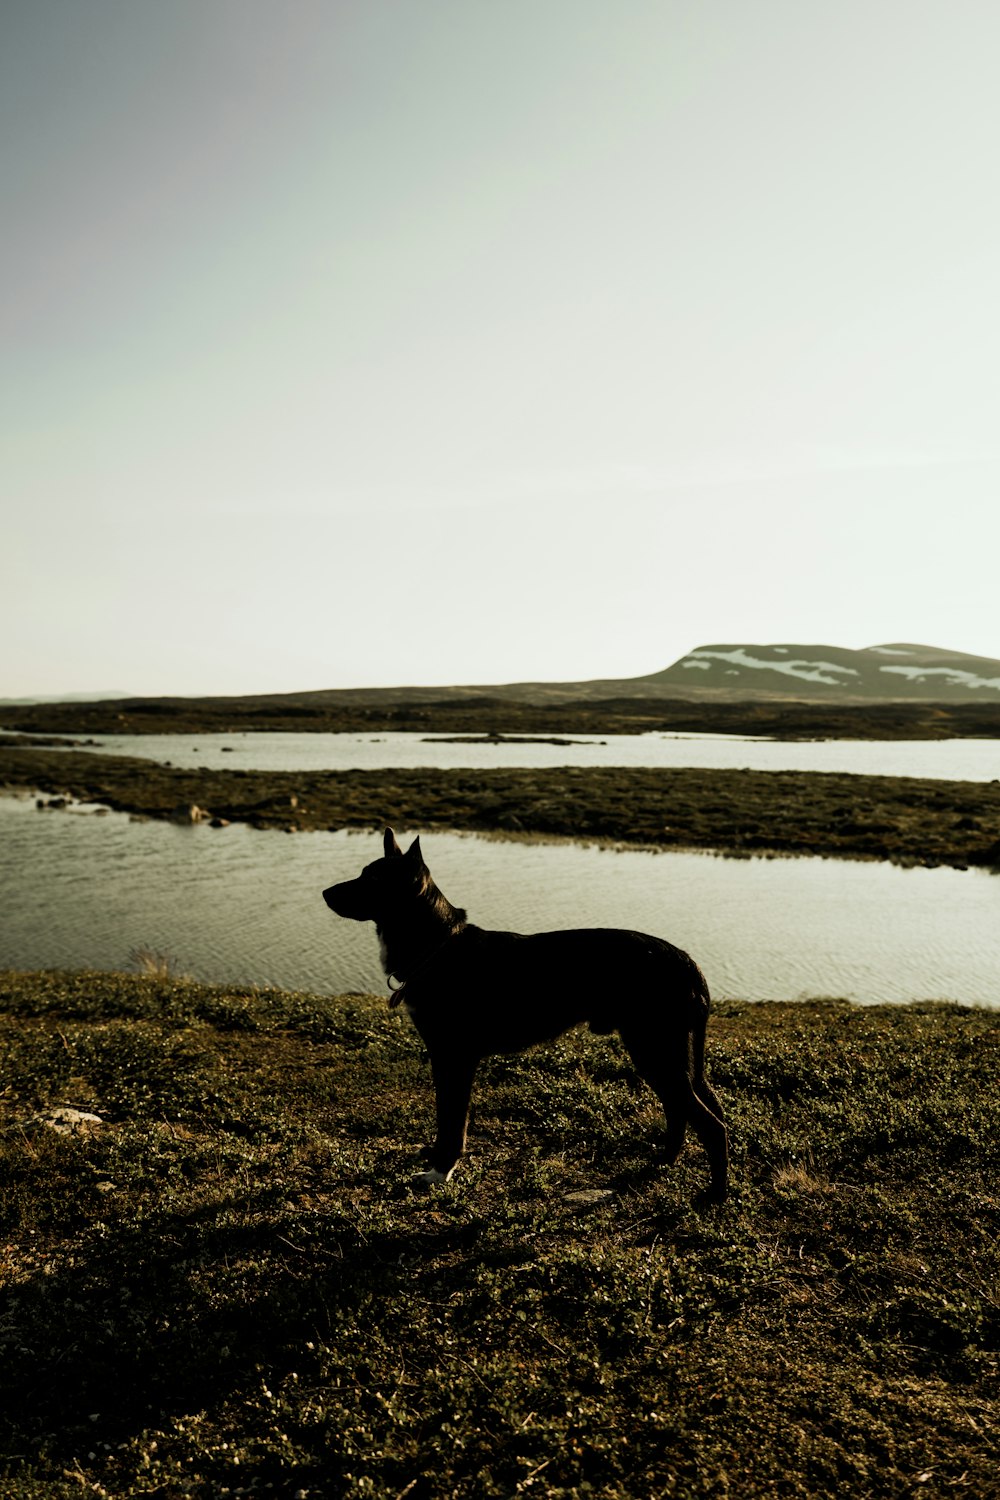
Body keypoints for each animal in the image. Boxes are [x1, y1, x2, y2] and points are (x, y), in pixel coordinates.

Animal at [325, 828, 731, 1200]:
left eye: (372, 880)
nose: (325, 894)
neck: (437, 947)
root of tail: (688, 962)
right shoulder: (446, 1059)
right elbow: (447, 1118)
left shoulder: (454, 1058)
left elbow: (453, 1121)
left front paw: (441, 1171)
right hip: (663, 1056)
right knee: (682, 1112)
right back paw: (663, 1162)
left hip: (655, 1051)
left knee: (710, 1125)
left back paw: (715, 1195)